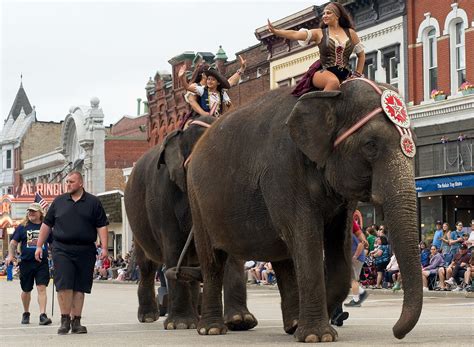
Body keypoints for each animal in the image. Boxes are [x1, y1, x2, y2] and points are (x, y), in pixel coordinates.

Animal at [124, 115, 258, 332]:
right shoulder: (164, 196)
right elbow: (174, 247)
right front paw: (180, 324)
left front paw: (241, 321)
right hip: (137, 223)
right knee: (147, 265)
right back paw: (149, 316)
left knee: (190, 267)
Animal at [185, 80, 422, 344]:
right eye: (371, 144)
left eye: (414, 143)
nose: (396, 332)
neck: (331, 95)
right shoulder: (283, 169)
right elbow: (305, 237)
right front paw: (317, 336)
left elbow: (337, 245)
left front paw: (308, 328)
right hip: (196, 200)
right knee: (213, 260)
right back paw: (211, 329)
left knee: (283, 260)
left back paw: (292, 324)